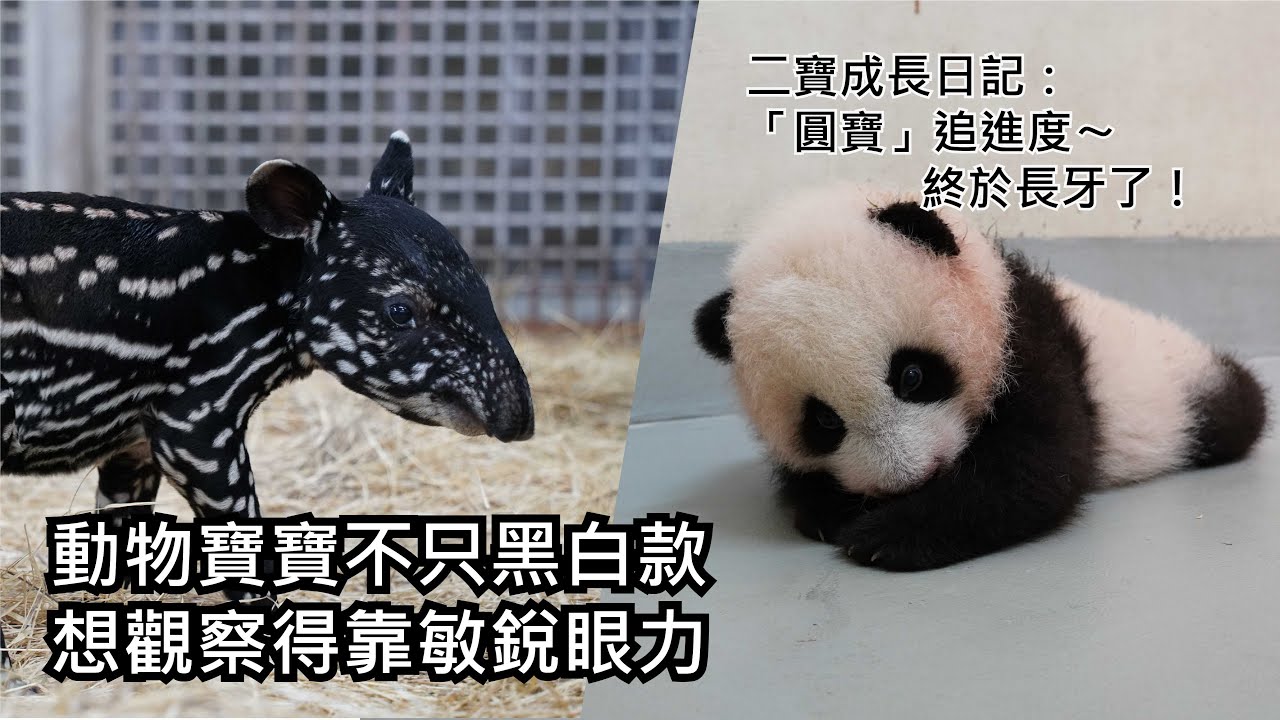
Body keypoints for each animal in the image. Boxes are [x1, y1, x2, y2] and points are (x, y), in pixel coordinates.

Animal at [694, 183, 1268, 571]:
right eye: (824, 422)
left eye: (912, 375)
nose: (911, 479)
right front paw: (832, 509)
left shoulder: (1027, 340)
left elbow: (1038, 465)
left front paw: (887, 535)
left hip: (1182, 389)